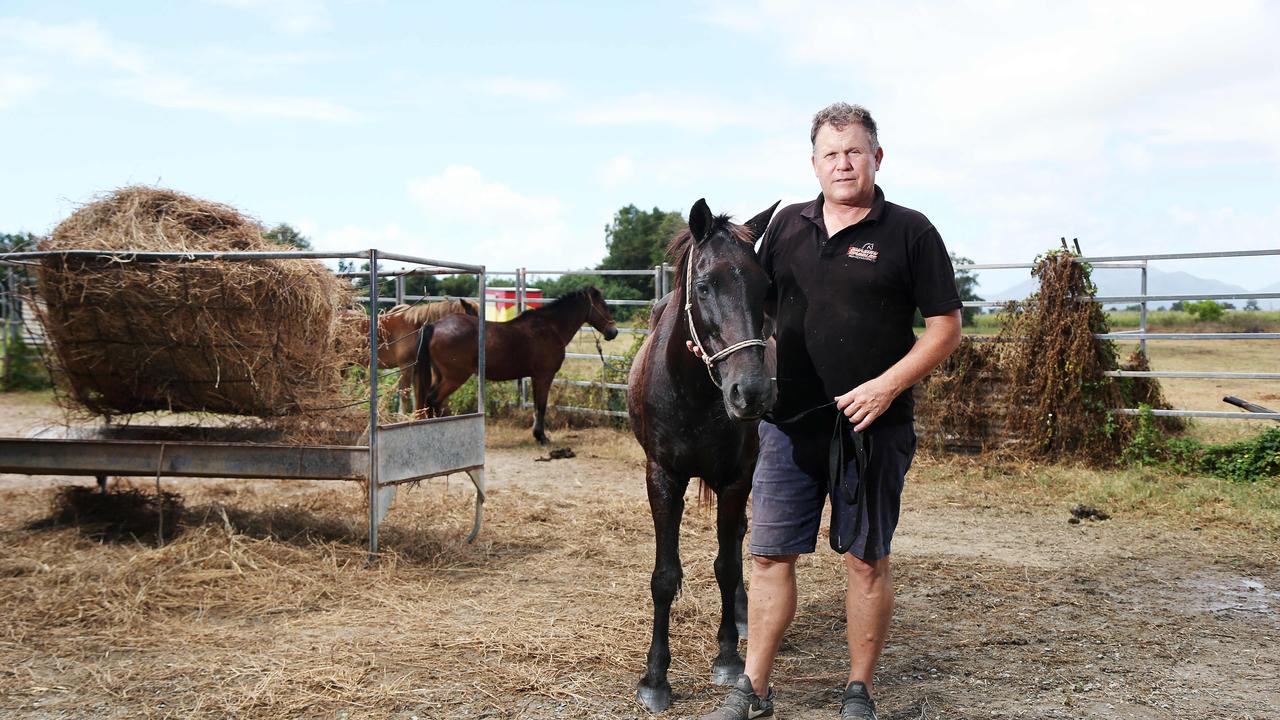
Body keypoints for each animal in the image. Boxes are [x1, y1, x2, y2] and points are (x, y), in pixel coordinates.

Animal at [343, 297, 478, 409]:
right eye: (474, 316)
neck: (416, 327)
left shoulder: (417, 367)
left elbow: (418, 396)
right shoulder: (406, 366)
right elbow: (405, 396)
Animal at [417, 283, 616, 440]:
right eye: (604, 305)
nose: (613, 332)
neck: (550, 327)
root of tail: (434, 326)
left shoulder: (536, 377)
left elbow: (536, 406)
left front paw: (537, 434)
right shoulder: (545, 375)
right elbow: (541, 406)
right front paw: (541, 436)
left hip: (440, 376)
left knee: (431, 400)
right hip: (454, 377)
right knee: (433, 399)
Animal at [624, 197, 773, 712]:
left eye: (765, 287)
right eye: (705, 285)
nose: (750, 392)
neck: (692, 392)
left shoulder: (736, 478)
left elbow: (726, 565)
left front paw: (727, 656)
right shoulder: (662, 478)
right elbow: (664, 576)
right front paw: (655, 677)